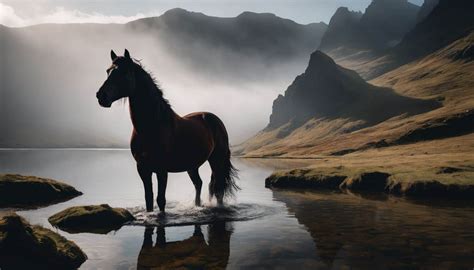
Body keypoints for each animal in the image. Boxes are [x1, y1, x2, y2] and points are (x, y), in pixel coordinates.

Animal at [96, 49, 239, 212]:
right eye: (108, 71)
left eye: (124, 72)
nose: (101, 96)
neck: (151, 127)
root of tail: (215, 120)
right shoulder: (143, 169)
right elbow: (149, 199)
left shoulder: (161, 170)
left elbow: (160, 200)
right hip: (192, 165)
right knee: (199, 184)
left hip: (217, 160)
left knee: (218, 188)